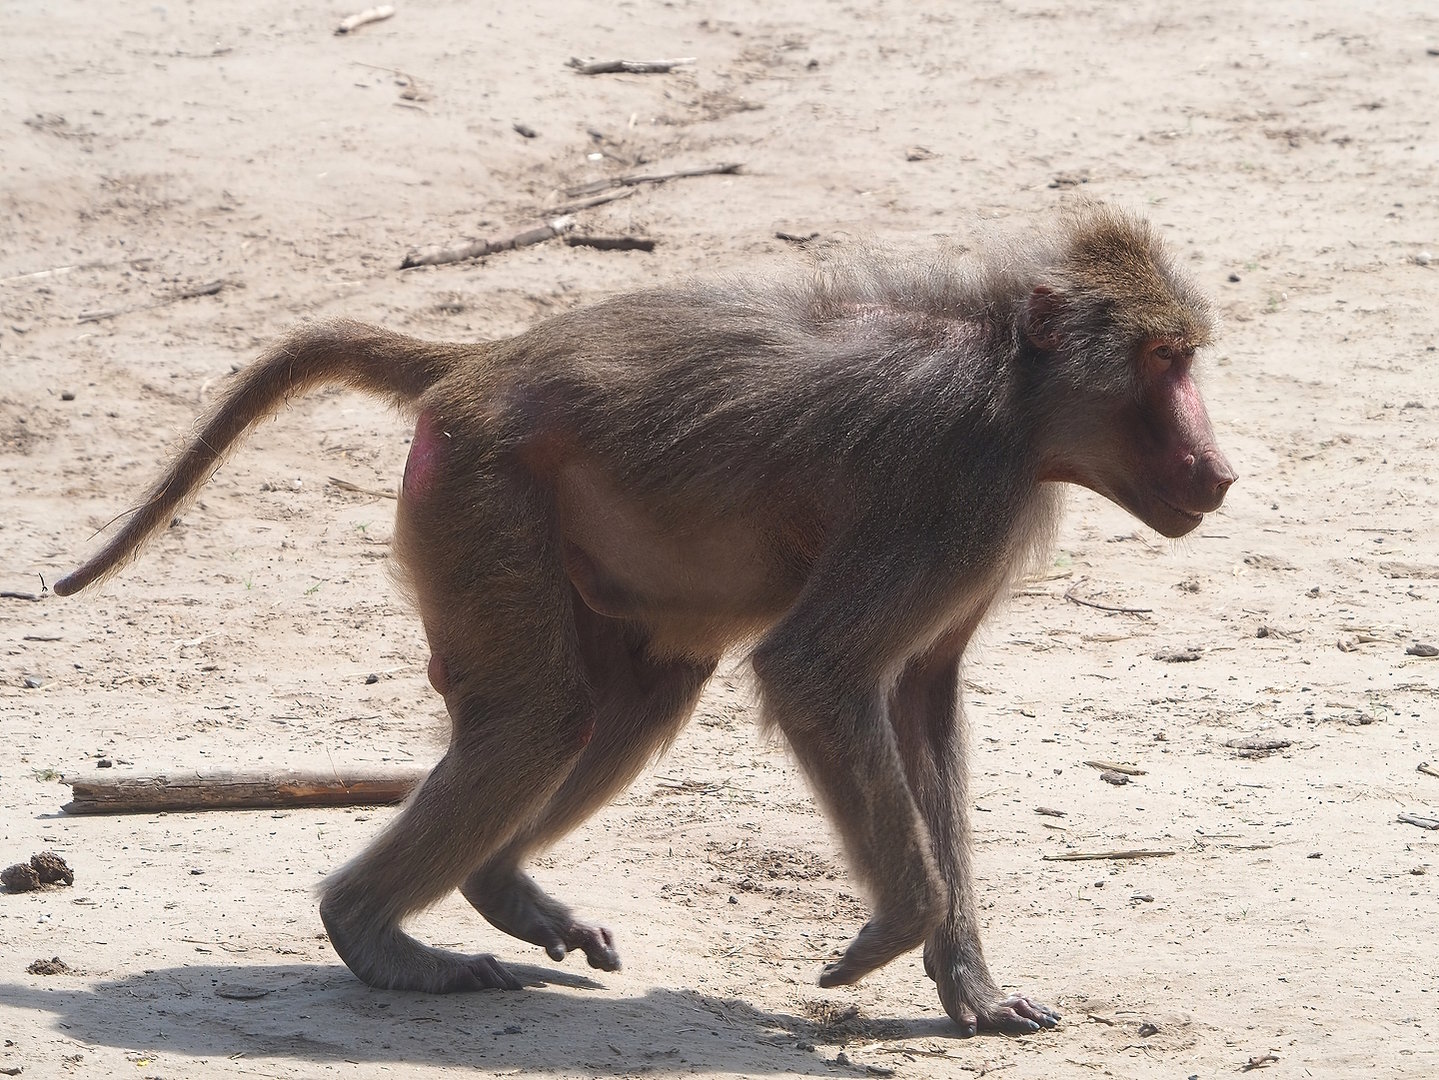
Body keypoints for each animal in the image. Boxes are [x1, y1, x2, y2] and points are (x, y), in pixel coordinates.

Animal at [55, 204, 1235, 1036]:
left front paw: (970, 987)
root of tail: (479, 362)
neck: (1015, 390)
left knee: (625, 701)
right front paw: (890, 931)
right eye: (1162, 362)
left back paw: (495, 888)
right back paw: (375, 936)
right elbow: (815, 671)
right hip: (480, 492)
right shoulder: (953, 490)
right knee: (538, 717)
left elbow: (920, 706)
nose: (1217, 472)